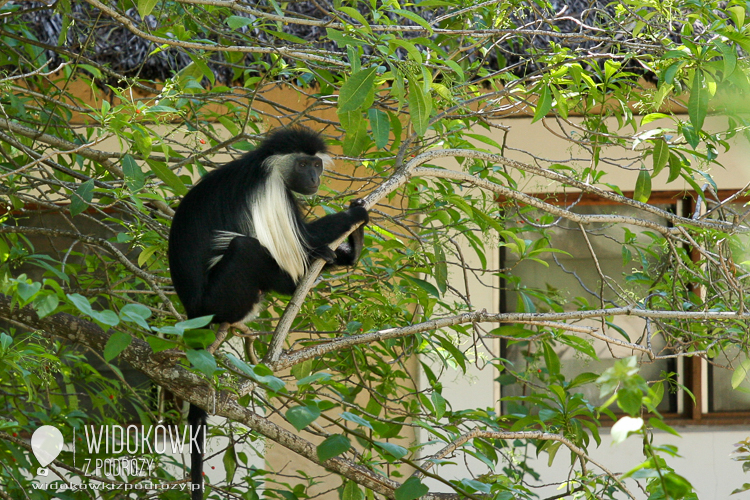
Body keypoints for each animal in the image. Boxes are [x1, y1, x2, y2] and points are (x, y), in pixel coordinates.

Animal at [169, 128, 372, 500]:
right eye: (304, 164)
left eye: (317, 165)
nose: (314, 178)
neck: (264, 164)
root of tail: (193, 311)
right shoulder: (272, 191)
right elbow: (301, 245)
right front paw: (353, 220)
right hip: (222, 298)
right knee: (249, 249)